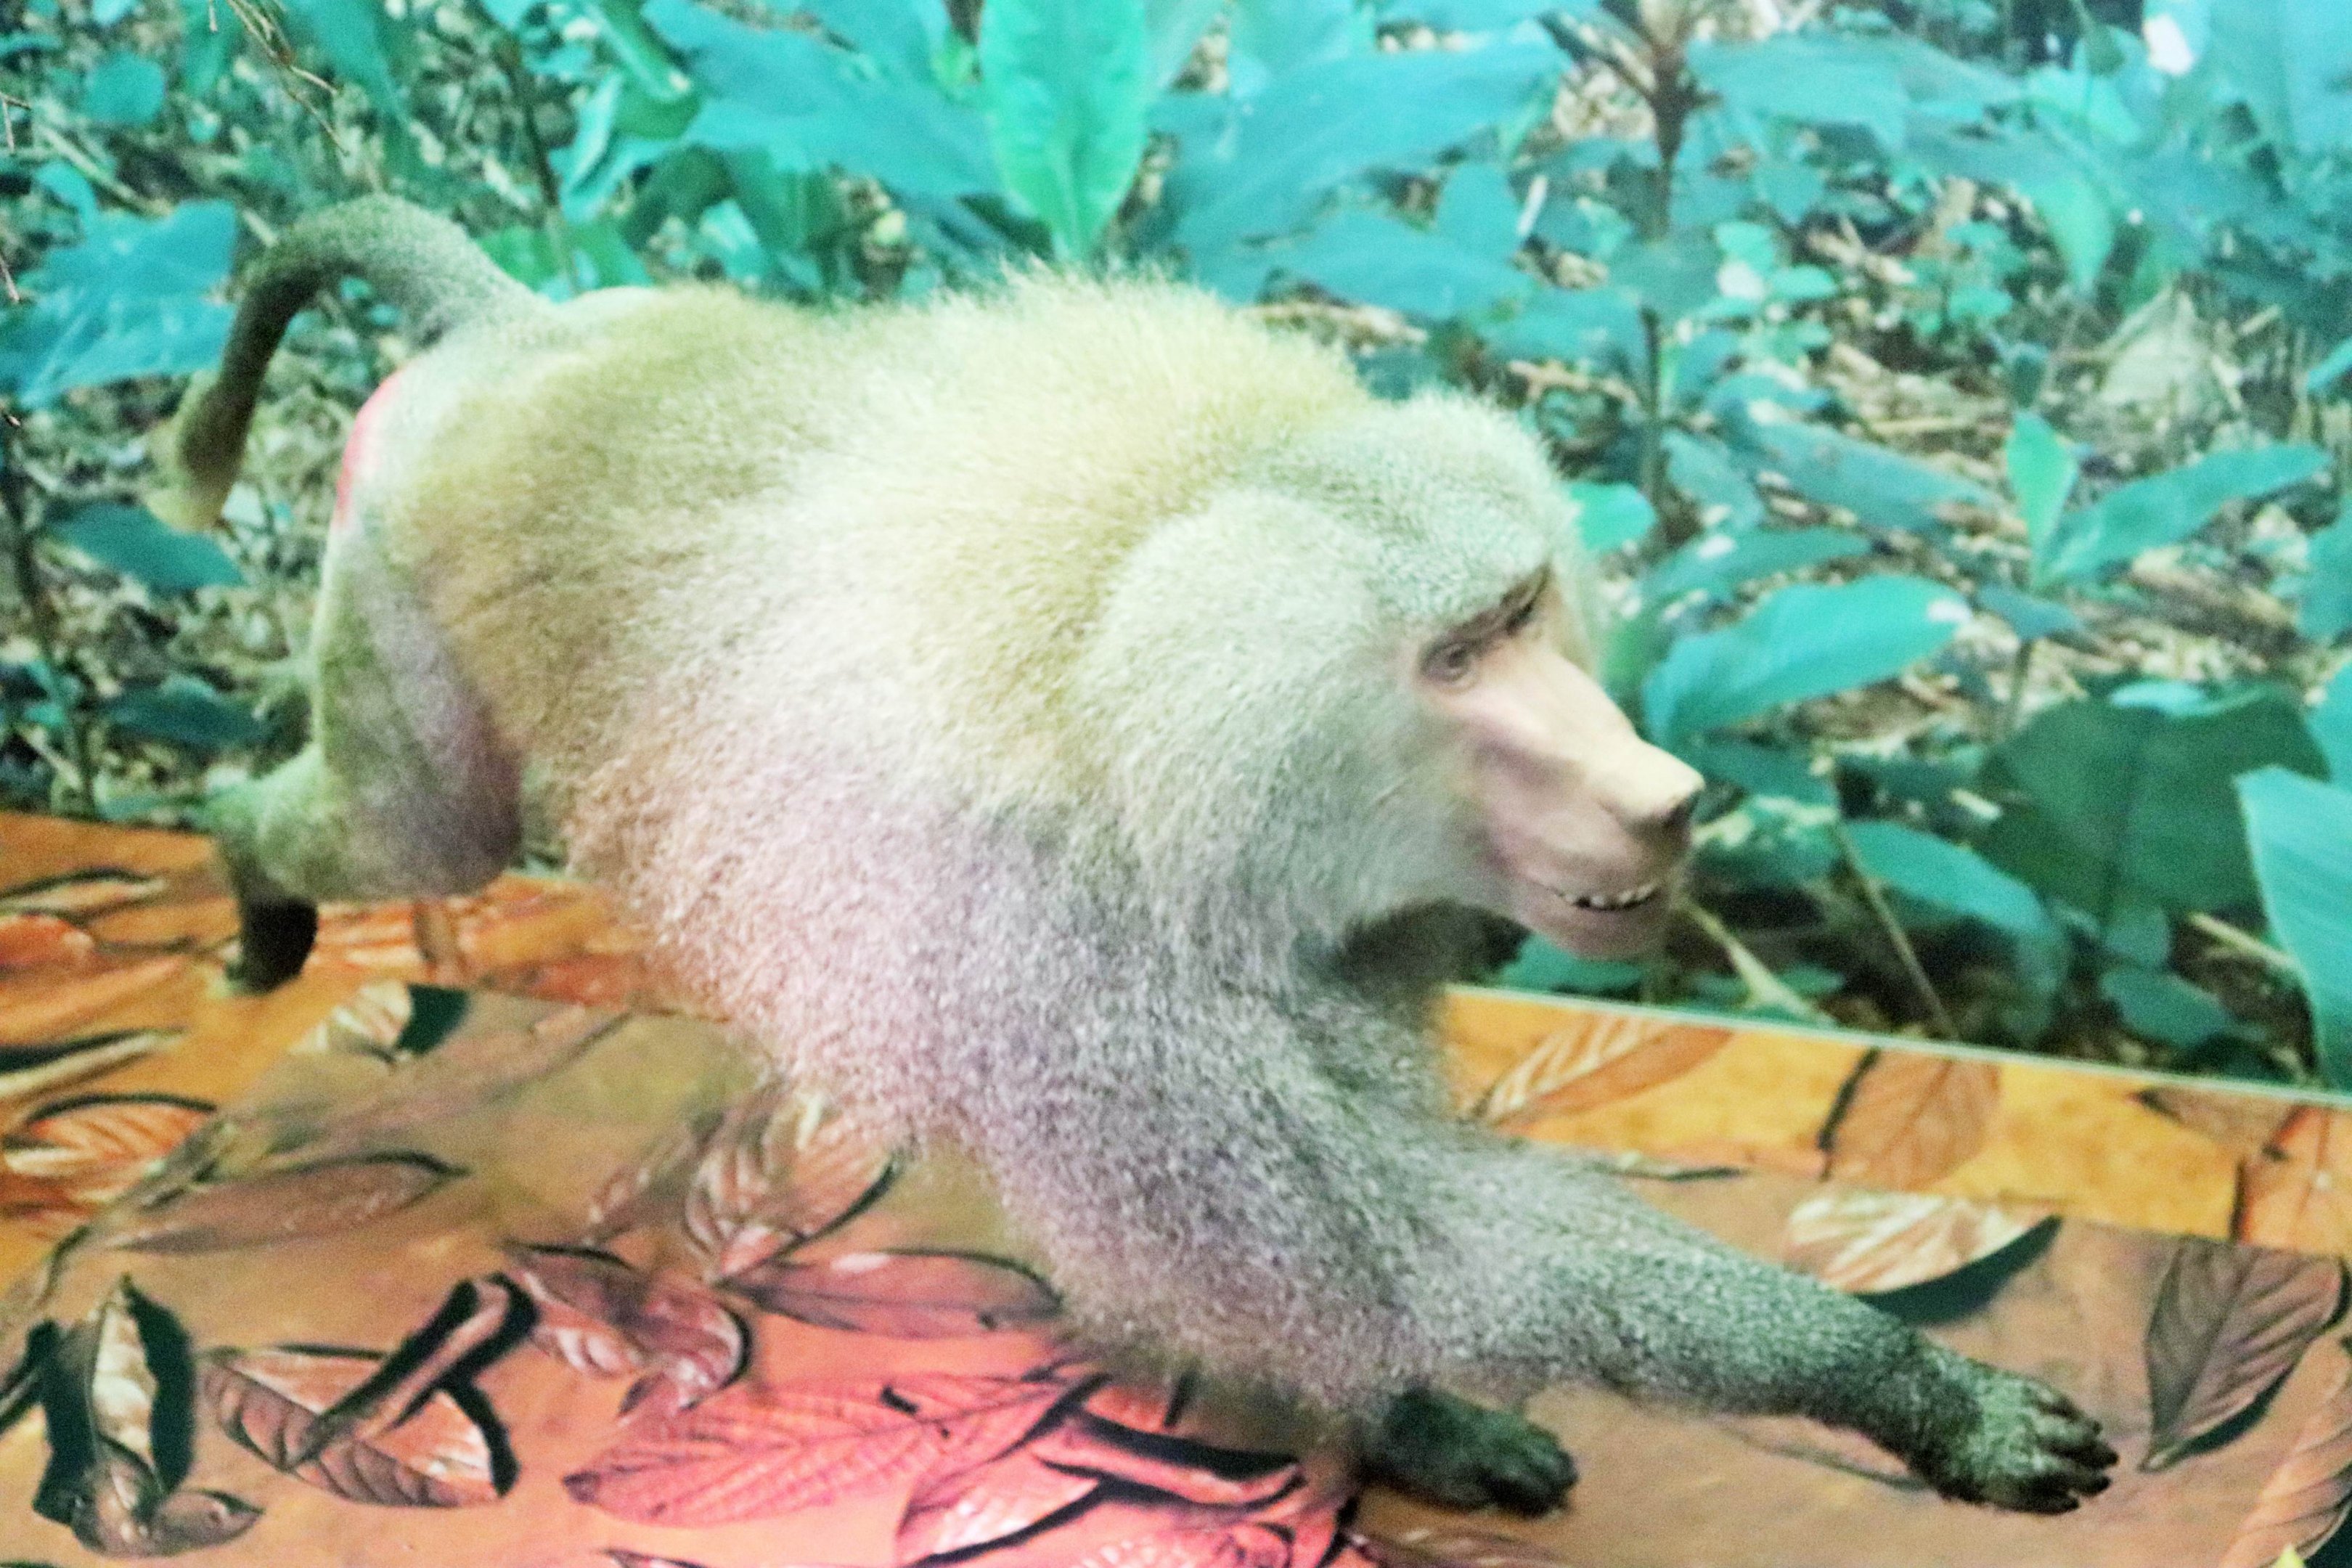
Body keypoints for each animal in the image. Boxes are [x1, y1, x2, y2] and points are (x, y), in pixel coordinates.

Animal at [155, 195, 2114, 1519]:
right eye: (1459, 659)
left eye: (1520, 608)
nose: (1663, 792)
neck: (1130, 676)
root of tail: (518, 340)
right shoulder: (1089, 950)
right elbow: (1402, 1247)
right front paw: (1911, 1389)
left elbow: (1347, 1254)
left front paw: (1412, 1422)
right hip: (395, 564)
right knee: (424, 826)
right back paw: (244, 878)